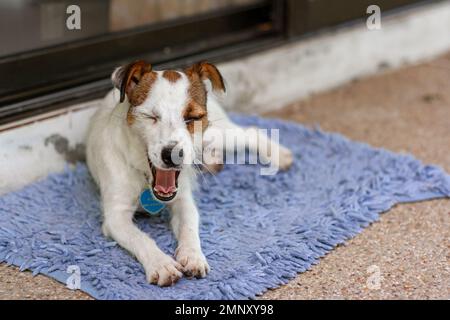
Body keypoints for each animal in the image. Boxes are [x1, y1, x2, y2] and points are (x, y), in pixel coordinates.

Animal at [86, 60, 294, 284]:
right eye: (150, 116)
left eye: (193, 117)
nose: (173, 155)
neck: (145, 177)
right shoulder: (116, 217)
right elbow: (140, 238)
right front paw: (161, 264)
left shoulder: (183, 200)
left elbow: (189, 227)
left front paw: (193, 256)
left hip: (217, 134)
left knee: (250, 133)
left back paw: (278, 154)